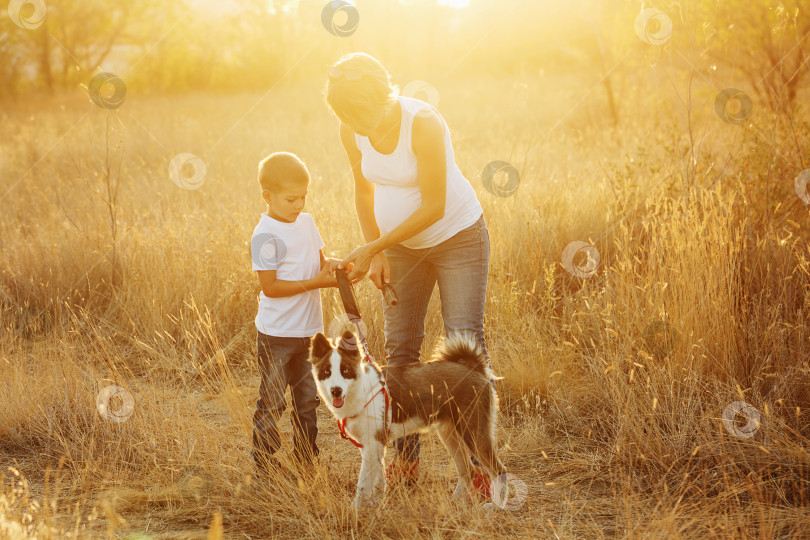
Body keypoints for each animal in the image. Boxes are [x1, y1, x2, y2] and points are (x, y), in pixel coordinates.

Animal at [306, 326, 502, 508]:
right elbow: (378, 479)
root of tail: (473, 369)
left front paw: (355, 508)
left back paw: (497, 506)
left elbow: (363, 484)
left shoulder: (373, 444)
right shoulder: (372, 446)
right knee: (467, 470)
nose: (336, 390)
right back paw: (455, 501)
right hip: (450, 435)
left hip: (474, 435)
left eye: (346, 371)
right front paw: (375, 502)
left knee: (499, 470)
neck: (362, 388)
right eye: (326, 372)